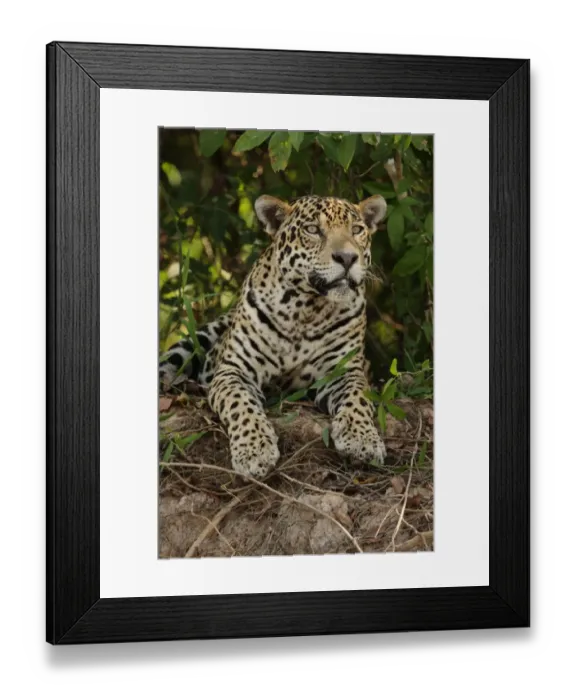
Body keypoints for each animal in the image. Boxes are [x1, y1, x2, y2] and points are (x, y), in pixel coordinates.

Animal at [160, 193, 388, 478]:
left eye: (357, 230)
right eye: (313, 230)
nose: (347, 258)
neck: (306, 309)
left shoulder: (344, 371)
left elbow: (358, 399)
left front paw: (363, 440)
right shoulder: (234, 370)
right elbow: (241, 404)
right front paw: (254, 450)